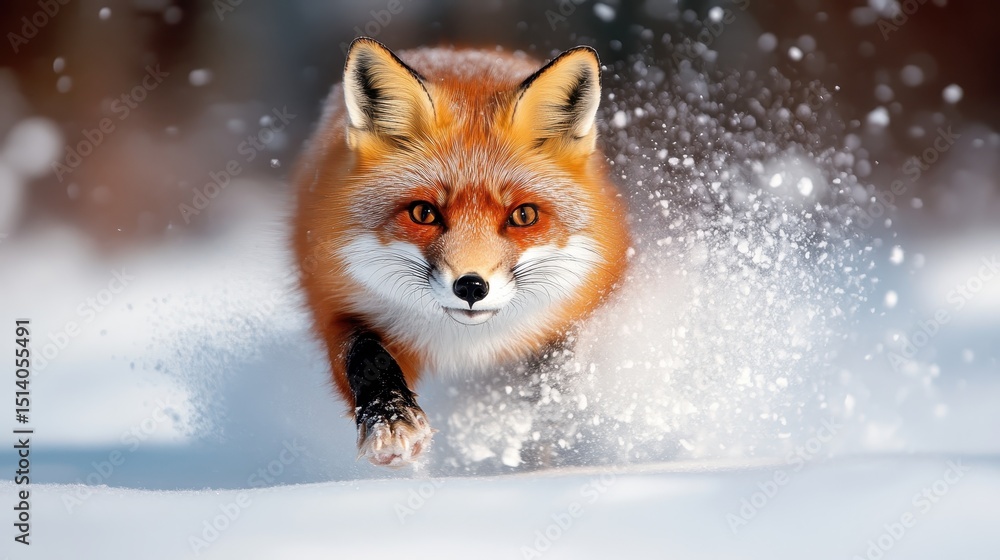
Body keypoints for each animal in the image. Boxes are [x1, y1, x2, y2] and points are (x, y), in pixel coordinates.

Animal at [293, 37, 630, 467]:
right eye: (424, 213)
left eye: (523, 216)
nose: (471, 286)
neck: (463, 345)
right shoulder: (335, 304)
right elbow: (366, 358)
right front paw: (391, 421)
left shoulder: (572, 313)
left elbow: (548, 380)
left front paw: (534, 434)